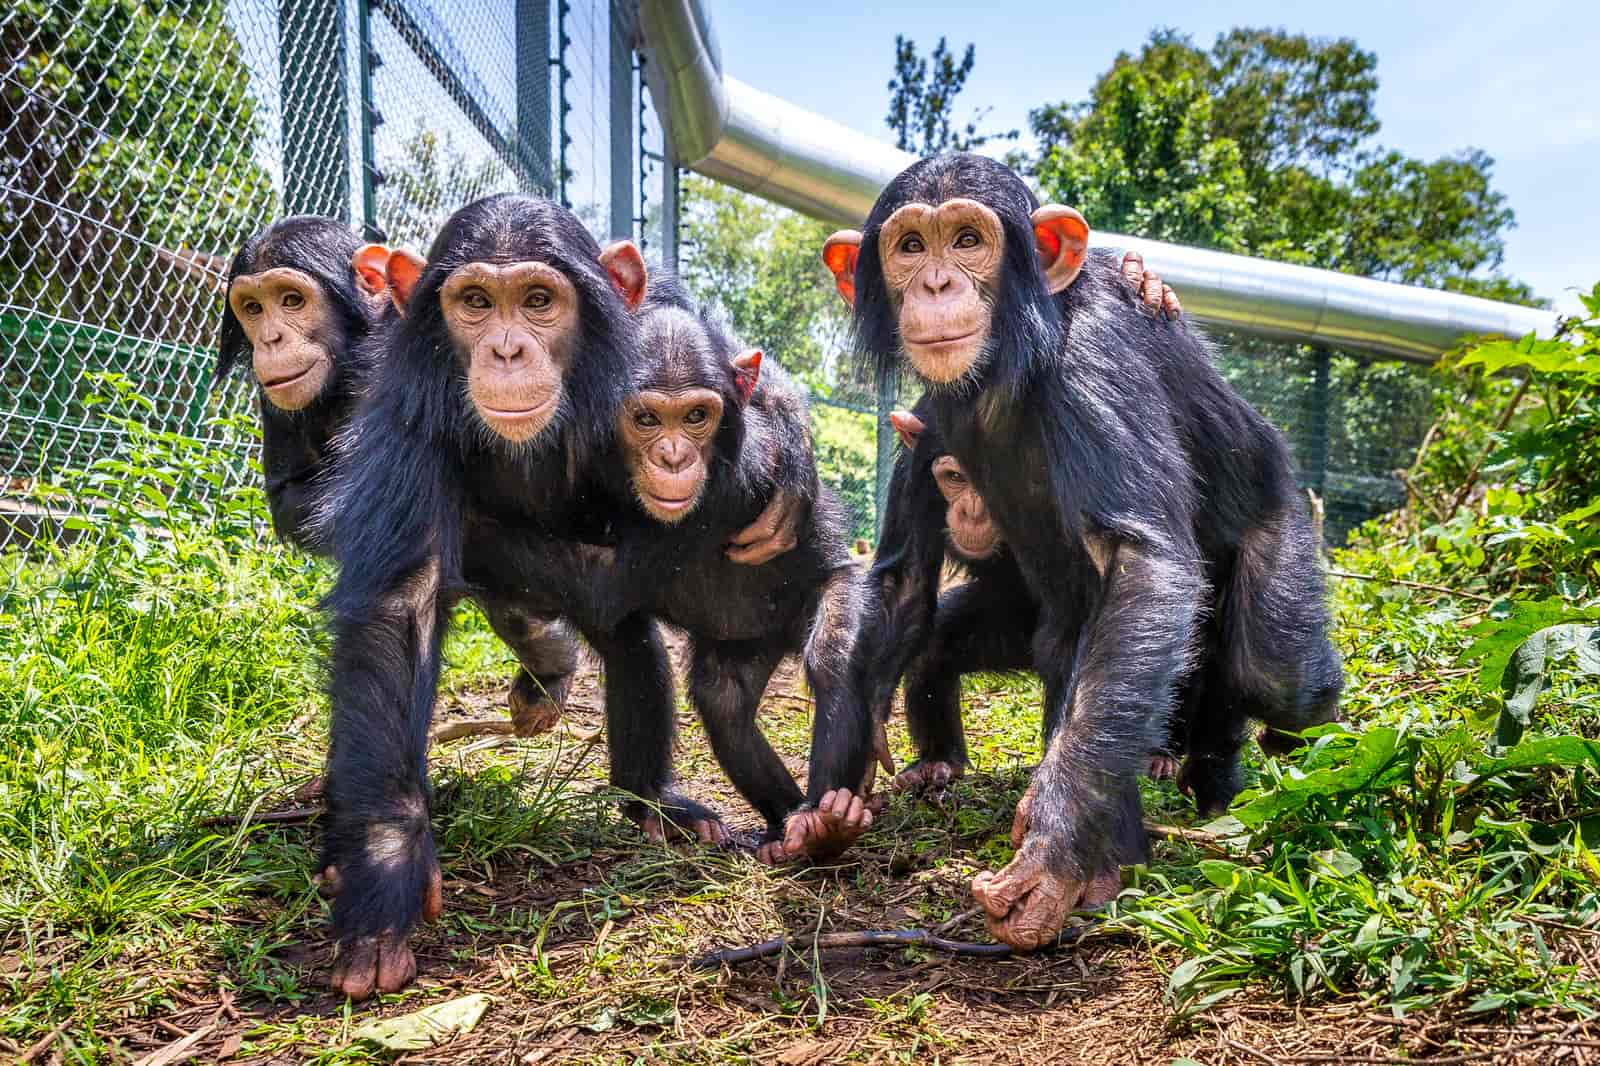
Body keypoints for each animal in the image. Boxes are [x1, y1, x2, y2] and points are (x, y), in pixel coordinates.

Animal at [825, 153, 1337, 947]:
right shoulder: (920, 447)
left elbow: (1142, 564)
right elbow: (904, 579)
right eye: (910, 247)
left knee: (1275, 672)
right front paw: (845, 766)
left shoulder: (1093, 368)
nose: (936, 284)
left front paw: (1051, 856)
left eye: (967, 240)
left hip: (1279, 524)